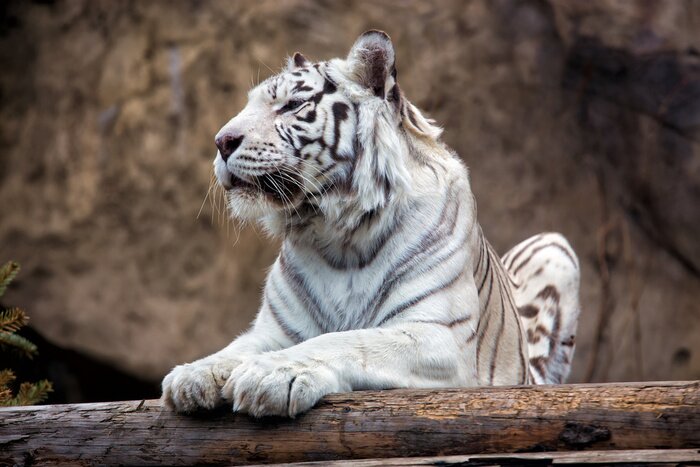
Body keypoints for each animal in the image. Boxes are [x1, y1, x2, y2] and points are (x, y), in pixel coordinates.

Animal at [161, 30, 581, 417]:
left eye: (292, 105)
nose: (221, 141)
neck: (336, 235)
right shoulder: (276, 329)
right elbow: (237, 347)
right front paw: (193, 374)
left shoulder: (438, 336)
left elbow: (345, 340)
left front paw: (270, 374)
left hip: (555, 247)